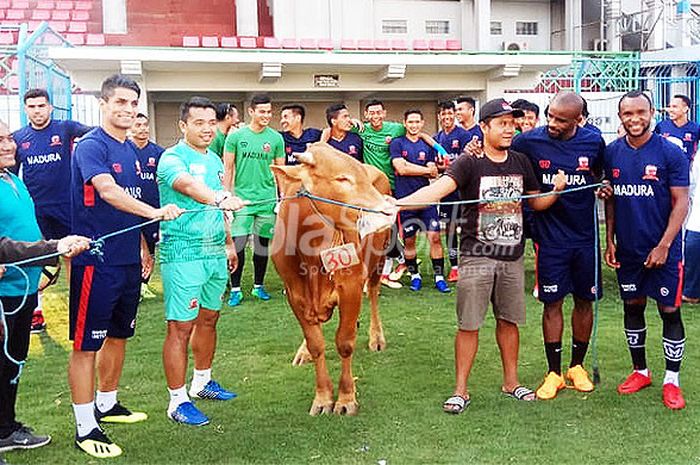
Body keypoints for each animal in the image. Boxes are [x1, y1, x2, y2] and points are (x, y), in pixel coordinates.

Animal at [272, 142, 396, 414]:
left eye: (363, 176)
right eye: (342, 178)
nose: (390, 209)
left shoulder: (350, 288)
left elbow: (344, 342)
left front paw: (346, 398)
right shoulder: (294, 293)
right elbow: (316, 343)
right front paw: (322, 397)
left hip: (377, 261)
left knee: (373, 293)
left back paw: (376, 337)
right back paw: (303, 352)